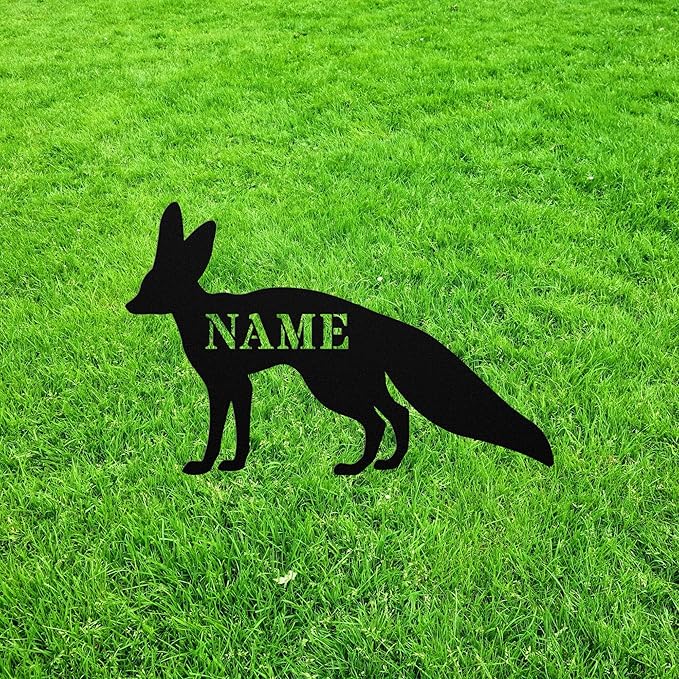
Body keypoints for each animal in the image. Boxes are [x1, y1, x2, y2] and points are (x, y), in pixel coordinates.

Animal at [126, 202, 553, 475]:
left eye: (150, 287)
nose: (129, 305)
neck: (201, 316)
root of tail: (374, 321)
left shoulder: (229, 385)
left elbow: (221, 430)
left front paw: (214, 464)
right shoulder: (235, 385)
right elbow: (234, 427)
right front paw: (230, 463)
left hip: (335, 387)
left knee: (382, 419)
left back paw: (362, 467)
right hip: (359, 385)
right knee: (395, 414)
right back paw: (382, 464)